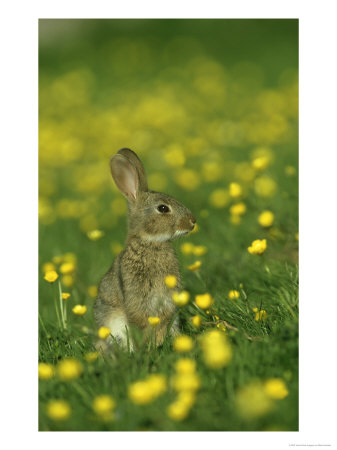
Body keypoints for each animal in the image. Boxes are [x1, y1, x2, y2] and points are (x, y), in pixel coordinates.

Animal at [93, 148, 196, 352]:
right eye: (163, 208)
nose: (192, 221)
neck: (151, 243)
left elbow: (163, 320)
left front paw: (159, 343)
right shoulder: (136, 297)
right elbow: (141, 322)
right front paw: (151, 347)